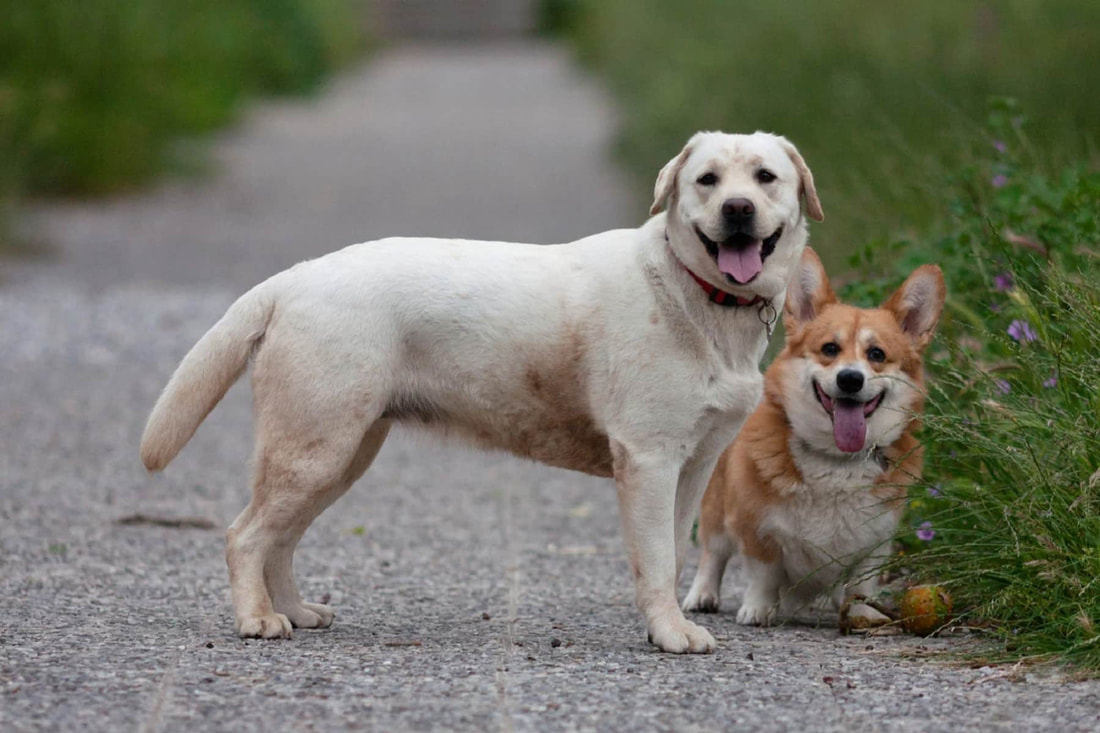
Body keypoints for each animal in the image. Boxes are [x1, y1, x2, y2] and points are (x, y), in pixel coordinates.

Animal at [141, 129, 822, 651]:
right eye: (707, 180)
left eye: (764, 177)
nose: (737, 209)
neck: (695, 296)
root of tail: (291, 279)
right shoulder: (649, 461)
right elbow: (654, 559)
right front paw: (671, 633)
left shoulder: (694, 465)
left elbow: (674, 554)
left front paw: (667, 623)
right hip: (315, 450)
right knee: (245, 535)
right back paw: (257, 620)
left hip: (340, 456)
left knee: (279, 539)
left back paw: (296, 611)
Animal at [682, 248, 941, 625]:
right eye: (830, 348)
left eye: (876, 354)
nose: (850, 379)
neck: (836, 459)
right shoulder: (757, 528)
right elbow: (763, 574)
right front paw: (757, 609)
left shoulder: (876, 543)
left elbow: (862, 584)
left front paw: (864, 612)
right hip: (716, 505)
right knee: (712, 554)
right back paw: (702, 595)